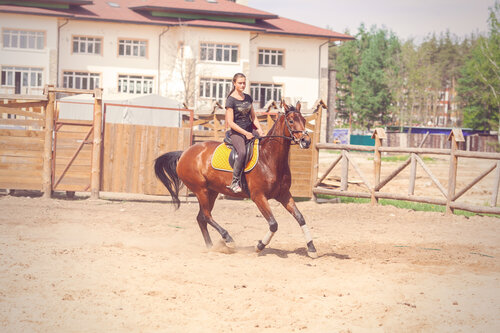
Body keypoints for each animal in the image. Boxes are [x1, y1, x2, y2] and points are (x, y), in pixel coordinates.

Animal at [154, 100, 316, 256]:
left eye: (303, 120)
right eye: (291, 121)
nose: (306, 141)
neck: (269, 158)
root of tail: (184, 153)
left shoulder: (284, 195)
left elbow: (300, 218)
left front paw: (311, 248)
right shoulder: (258, 196)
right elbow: (273, 224)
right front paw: (259, 246)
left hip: (211, 192)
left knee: (201, 218)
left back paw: (211, 247)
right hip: (200, 190)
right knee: (206, 216)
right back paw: (228, 239)